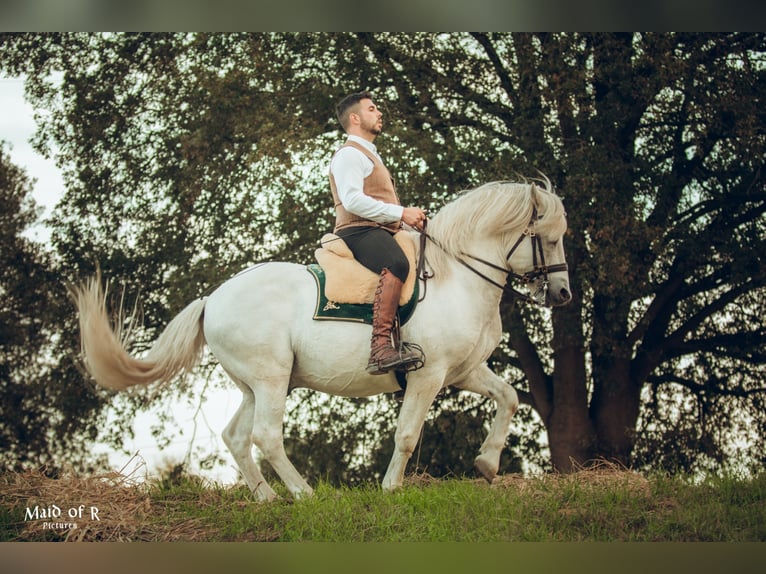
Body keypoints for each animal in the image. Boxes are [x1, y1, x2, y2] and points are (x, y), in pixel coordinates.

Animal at [72, 178, 571, 501]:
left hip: (257, 384)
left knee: (237, 436)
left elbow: (509, 398)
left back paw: (269, 499)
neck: (456, 276)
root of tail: (212, 299)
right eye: (548, 238)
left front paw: (487, 465)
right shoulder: (428, 376)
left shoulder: (464, 370)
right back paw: (304, 494)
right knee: (266, 435)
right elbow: (408, 434)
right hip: (271, 379)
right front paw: (392, 489)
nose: (563, 294)